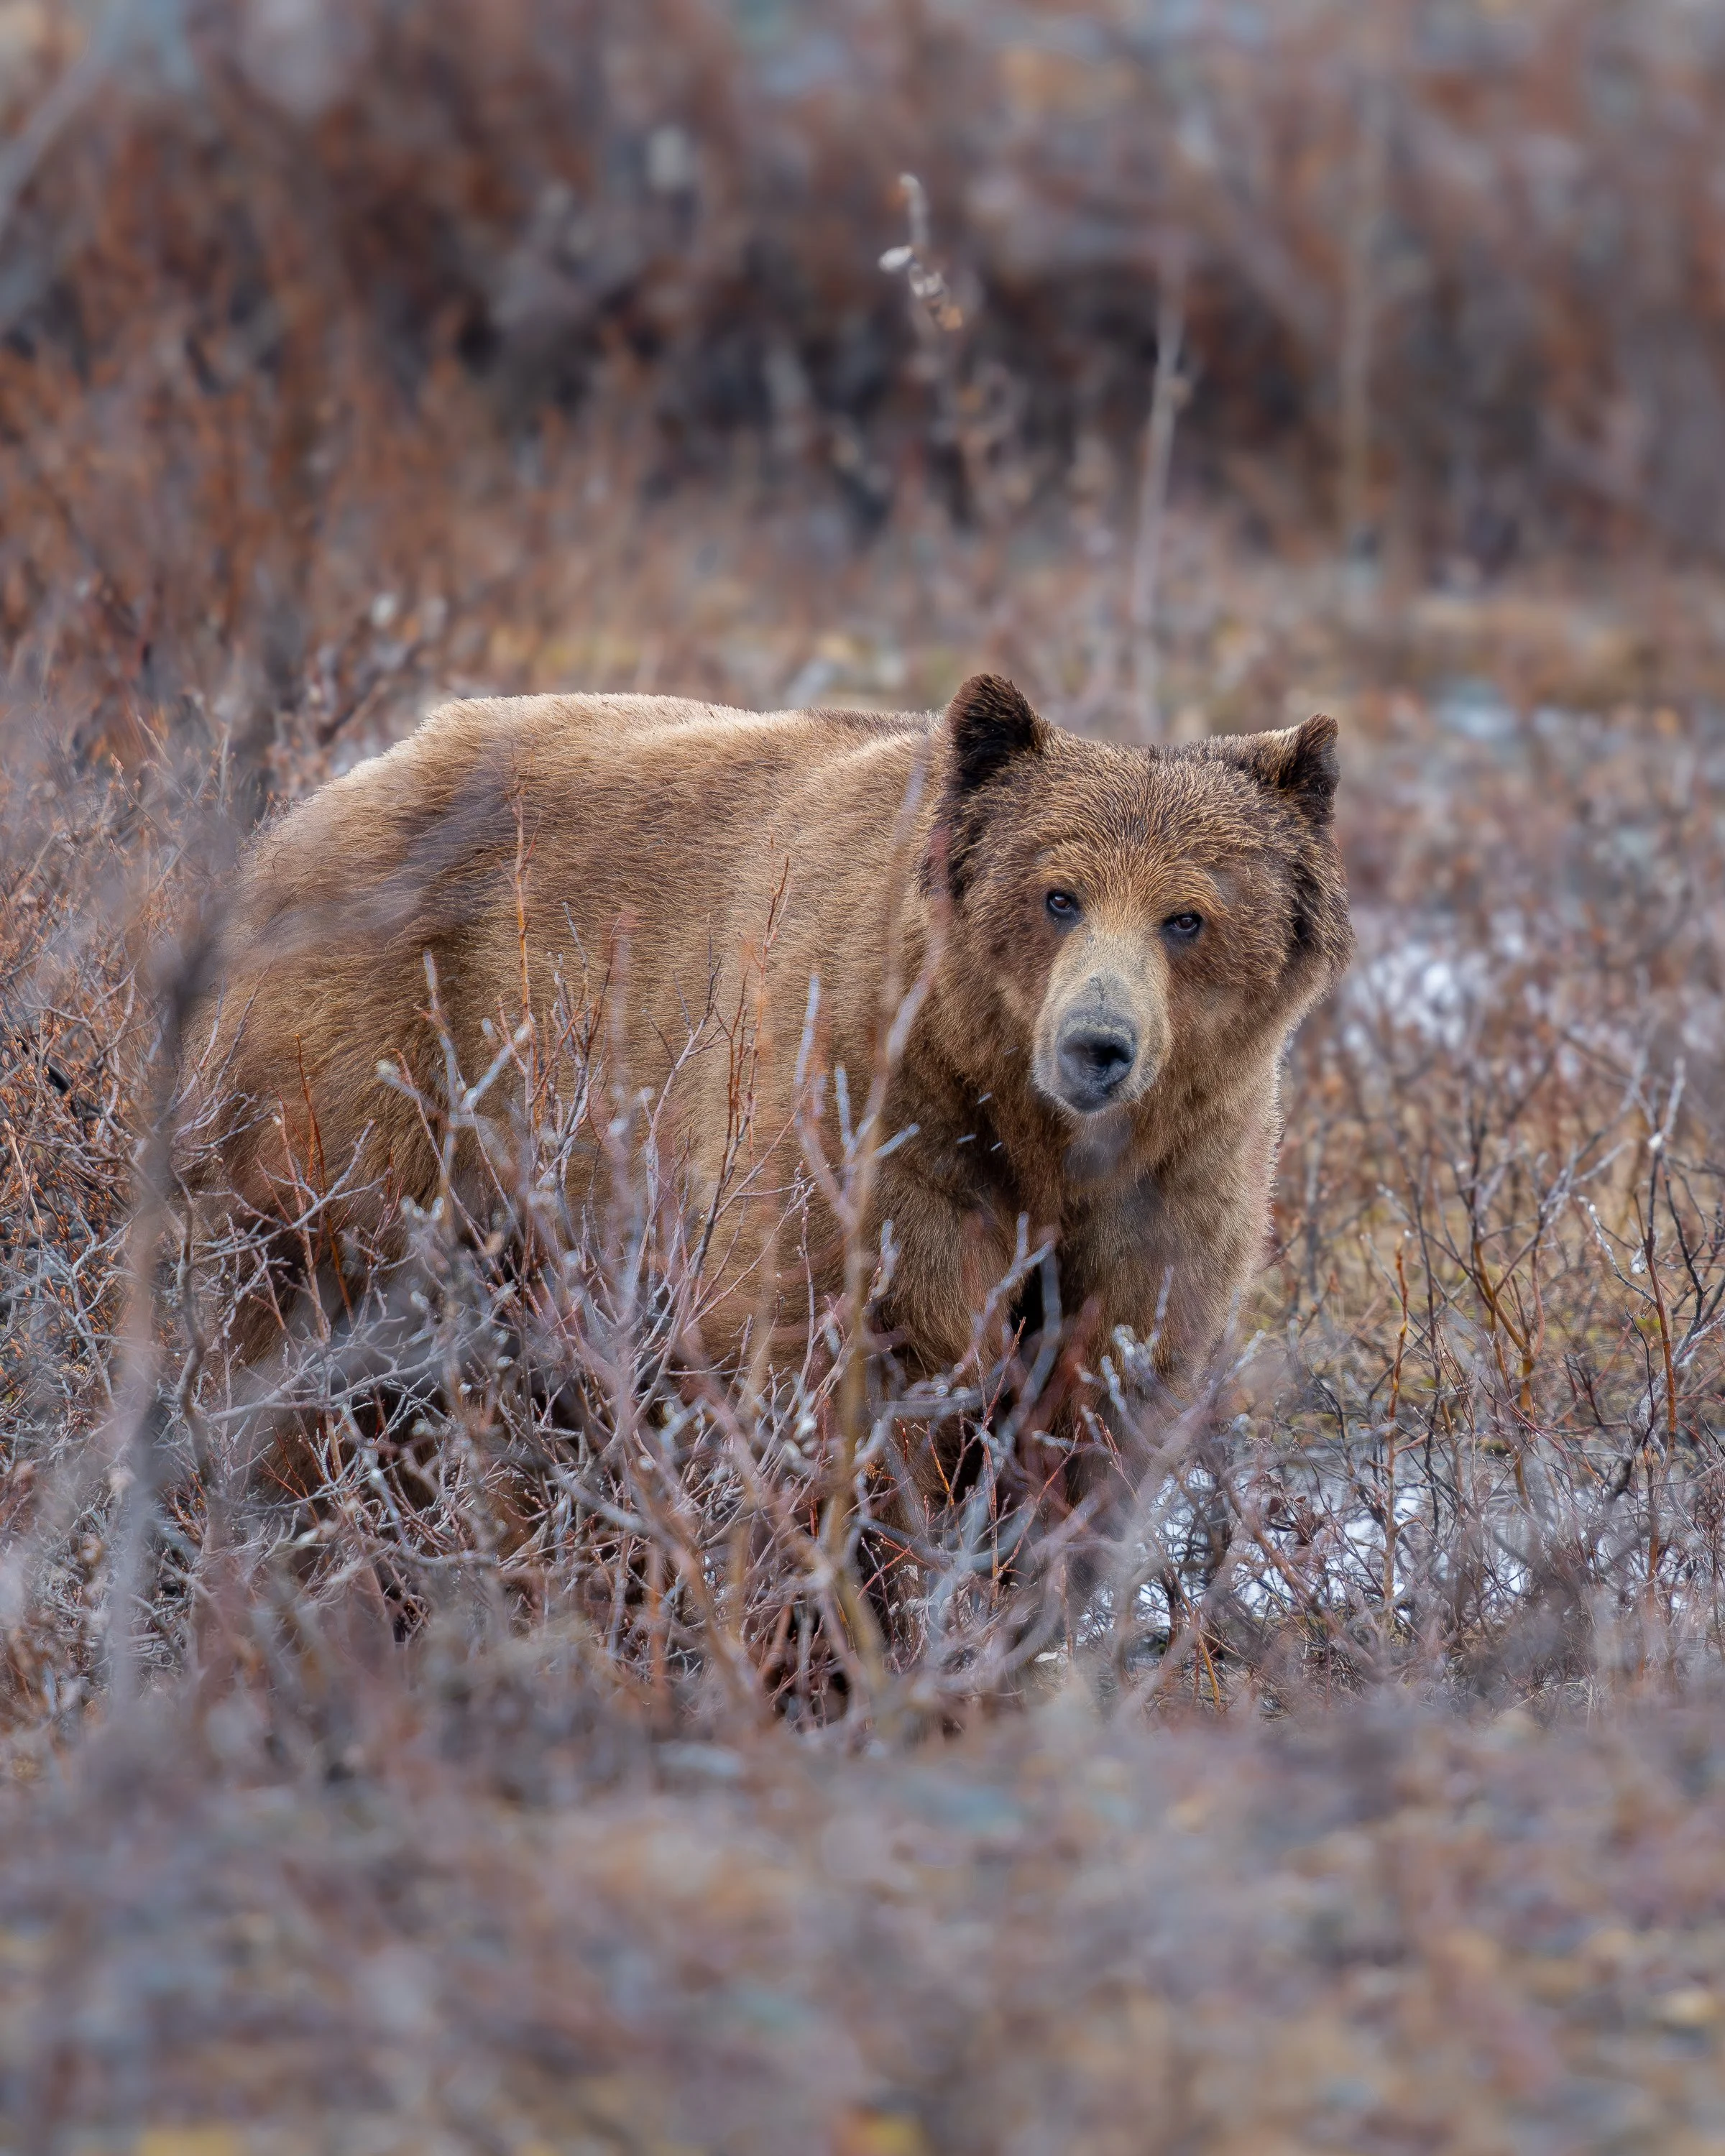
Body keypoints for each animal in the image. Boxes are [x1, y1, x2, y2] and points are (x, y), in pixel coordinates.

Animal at [182, 674, 1352, 1480]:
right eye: (1058, 895)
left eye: (1188, 917)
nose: (1097, 1045)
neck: (1024, 1126)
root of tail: (319, 799)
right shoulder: (867, 1111)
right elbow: (843, 1354)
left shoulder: (1172, 1182)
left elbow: (1101, 1398)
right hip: (384, 1071)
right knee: (310, 1305)